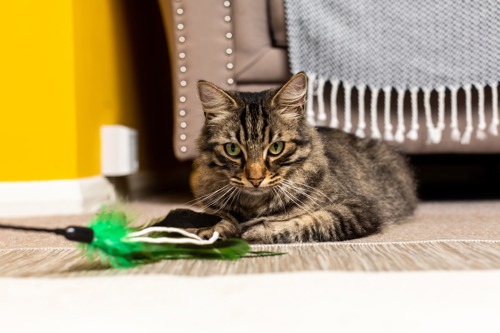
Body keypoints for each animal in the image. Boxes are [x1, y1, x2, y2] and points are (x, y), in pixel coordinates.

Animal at [189, 71, 416, 243]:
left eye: (276, 147)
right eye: (233, 149)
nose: (255, 179)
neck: (254, 206)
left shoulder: (359, 210)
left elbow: (310, 221)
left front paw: (256, 230)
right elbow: (219, 219)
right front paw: (213, 231)